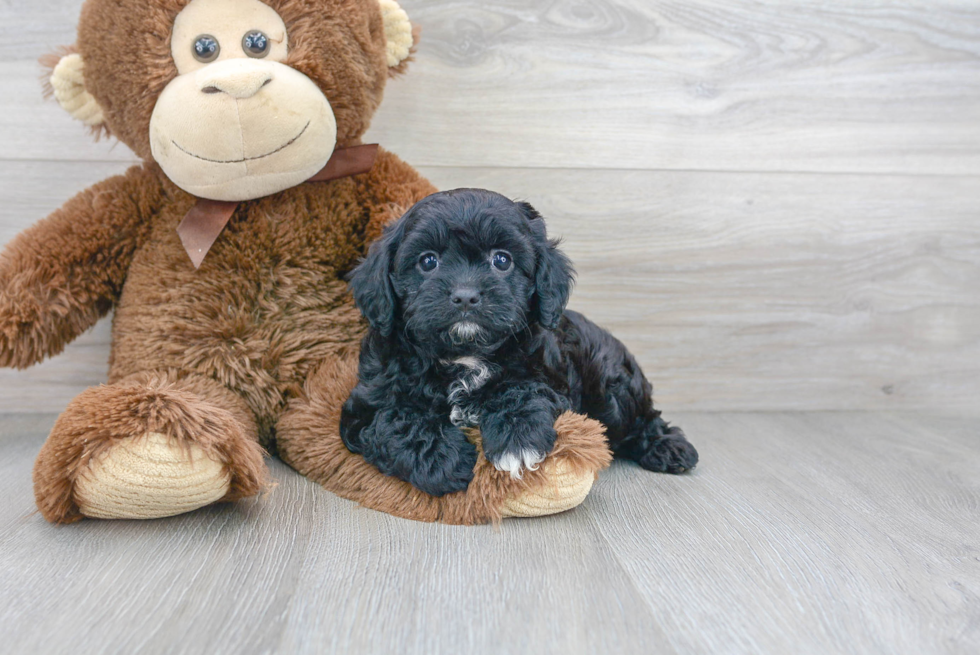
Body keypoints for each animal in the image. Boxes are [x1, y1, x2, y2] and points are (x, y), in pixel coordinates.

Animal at [342, 190, 696, 498]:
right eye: (428, 262)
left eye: (502, 260)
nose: (466, 295)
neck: (464, 355)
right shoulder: (362, 408)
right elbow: (396, 420)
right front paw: (445, 461)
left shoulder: (552, 381)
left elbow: (522, 390)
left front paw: (517, 440)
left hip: (611, 387)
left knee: (641, 418)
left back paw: (668, 448)